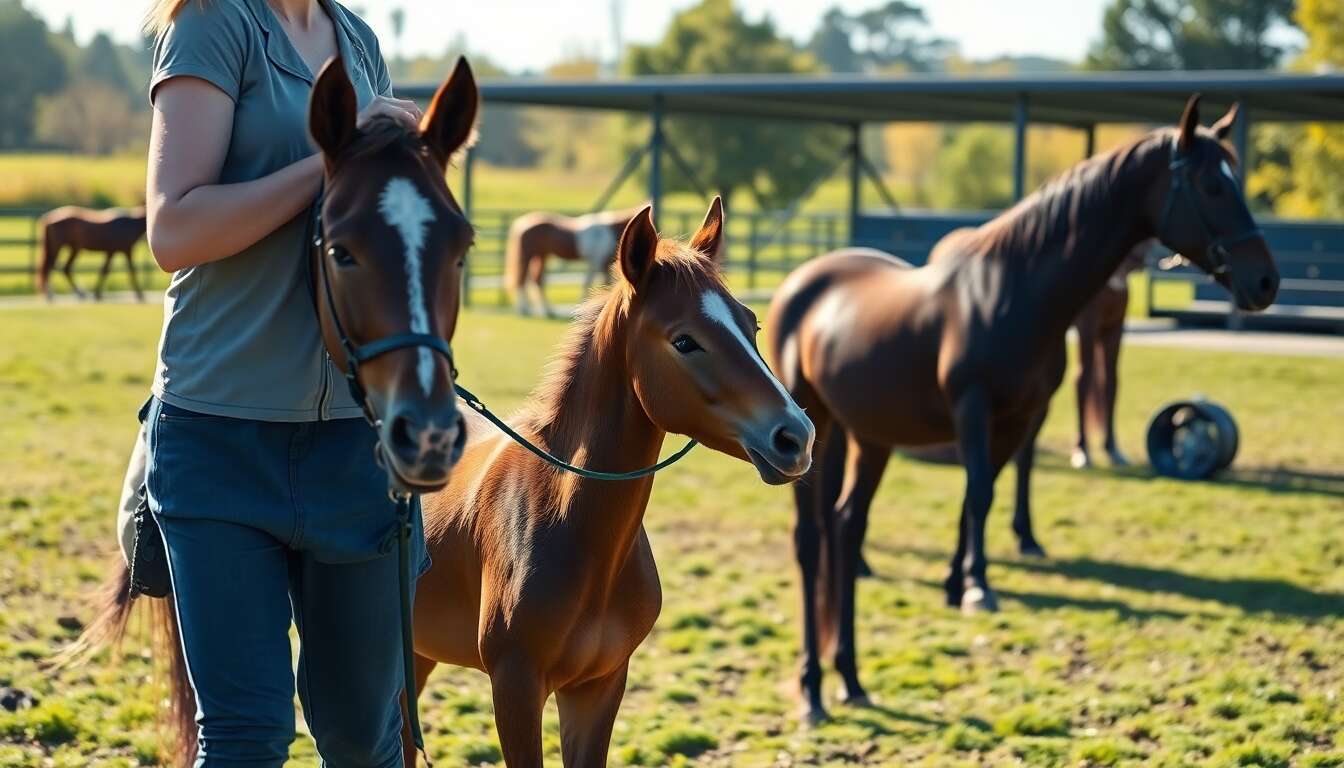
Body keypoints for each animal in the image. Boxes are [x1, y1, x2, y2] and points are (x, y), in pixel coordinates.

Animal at [504, 208, 641, 317]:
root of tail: (523, 223)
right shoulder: (597, 262)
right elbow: (593, 283)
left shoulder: (600, 264)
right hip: (528, 256)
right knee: (523, 279)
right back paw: (524, 310)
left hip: (541, 256)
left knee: (537, 280)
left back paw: (547, 311)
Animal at [1070, 240, 1150, 469]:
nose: (1137, 261)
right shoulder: (1087, 327)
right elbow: (1082, 381)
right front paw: (1081, 449)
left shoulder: (1114, 330)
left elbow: (1111, 383)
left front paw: (1112, 448)